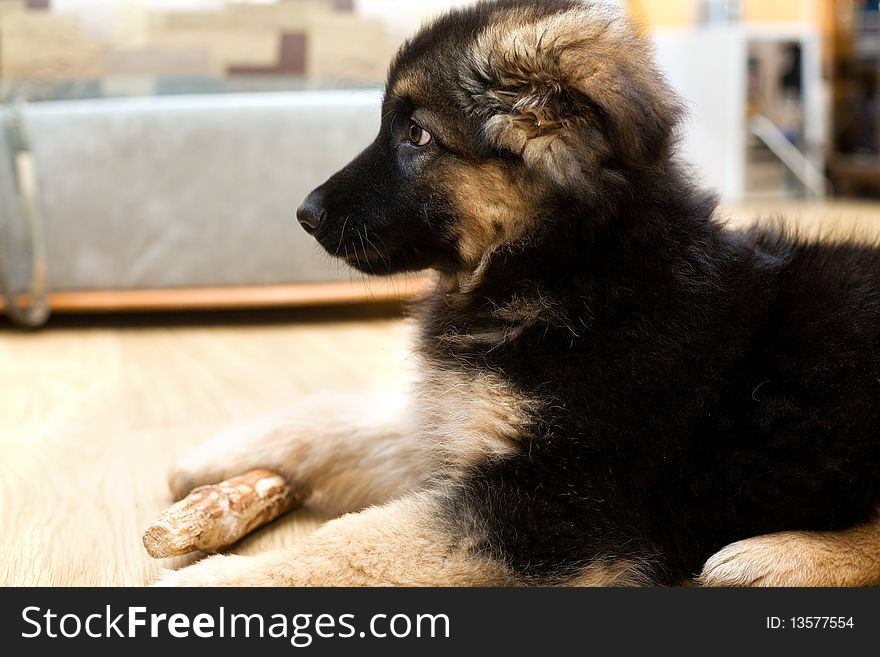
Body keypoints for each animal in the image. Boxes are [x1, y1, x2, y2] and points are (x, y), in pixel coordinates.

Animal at [156, 0, 880, 584]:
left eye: (416, 133)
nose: (304, 213)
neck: (565, 269)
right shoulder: (461, 422)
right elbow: (343, 416)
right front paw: (220, 454)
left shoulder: (546, 503)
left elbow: (350, 544)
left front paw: (208, 586)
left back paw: (773, 557)